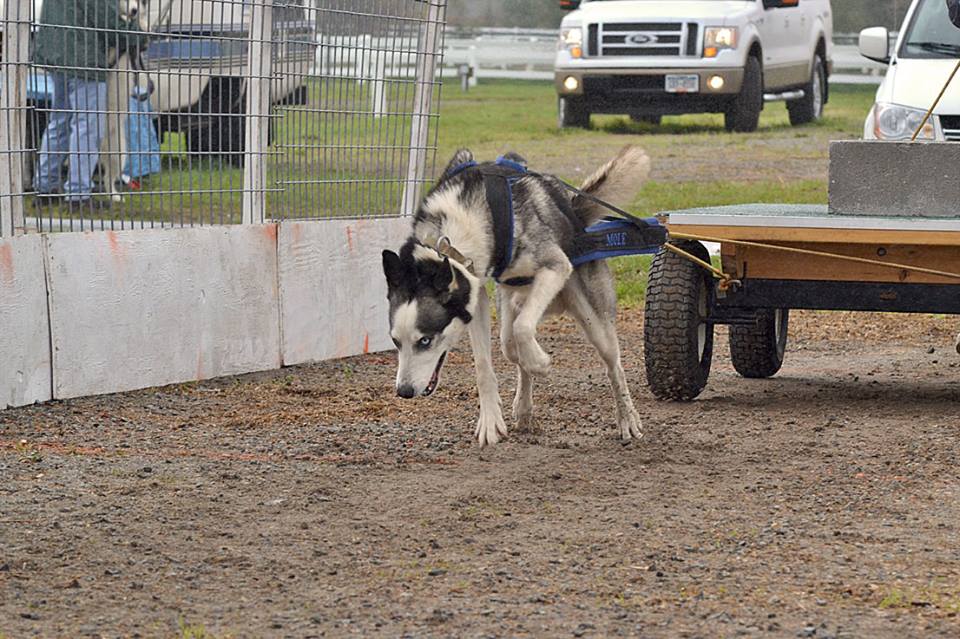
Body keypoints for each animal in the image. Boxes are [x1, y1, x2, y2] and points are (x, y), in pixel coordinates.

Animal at [382, 146, 652, 448]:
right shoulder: (476, 293)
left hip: (596, 323)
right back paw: (524, 407)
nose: (403, 391)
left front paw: (540, 363)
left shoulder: (555, 267)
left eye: (425, 340)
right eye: (395, 341)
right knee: (511, 347)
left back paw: (627, 417)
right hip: (510, 307)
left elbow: (524, 329)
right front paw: (490, 421)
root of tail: (576, 216)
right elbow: (484, 366)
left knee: (613, 366)